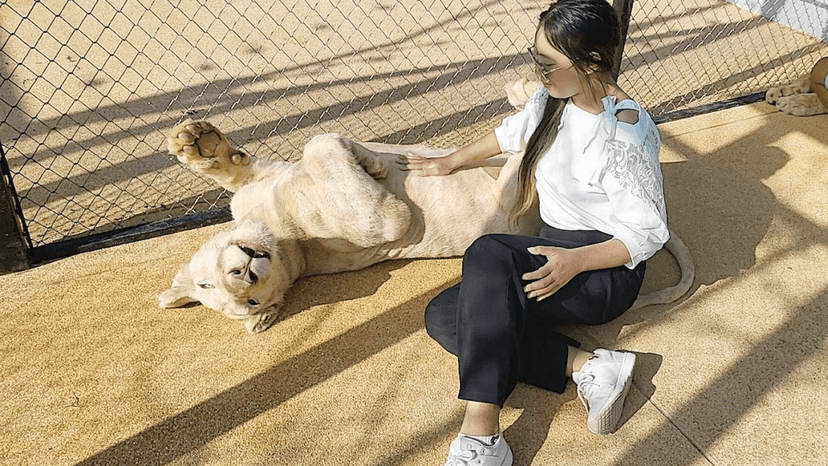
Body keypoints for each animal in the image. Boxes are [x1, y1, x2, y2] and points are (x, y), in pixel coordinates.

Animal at [158, 81, 695, 333]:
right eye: (249, 304)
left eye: (206, 284)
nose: (247, 273)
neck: (278, 237)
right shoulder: (380, 223)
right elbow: (331, 153)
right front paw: (372, 163)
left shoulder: (261, 183)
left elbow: (252, 164)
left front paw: (194, 141)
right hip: (511, 205)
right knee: (525, 154)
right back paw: (546, 103)